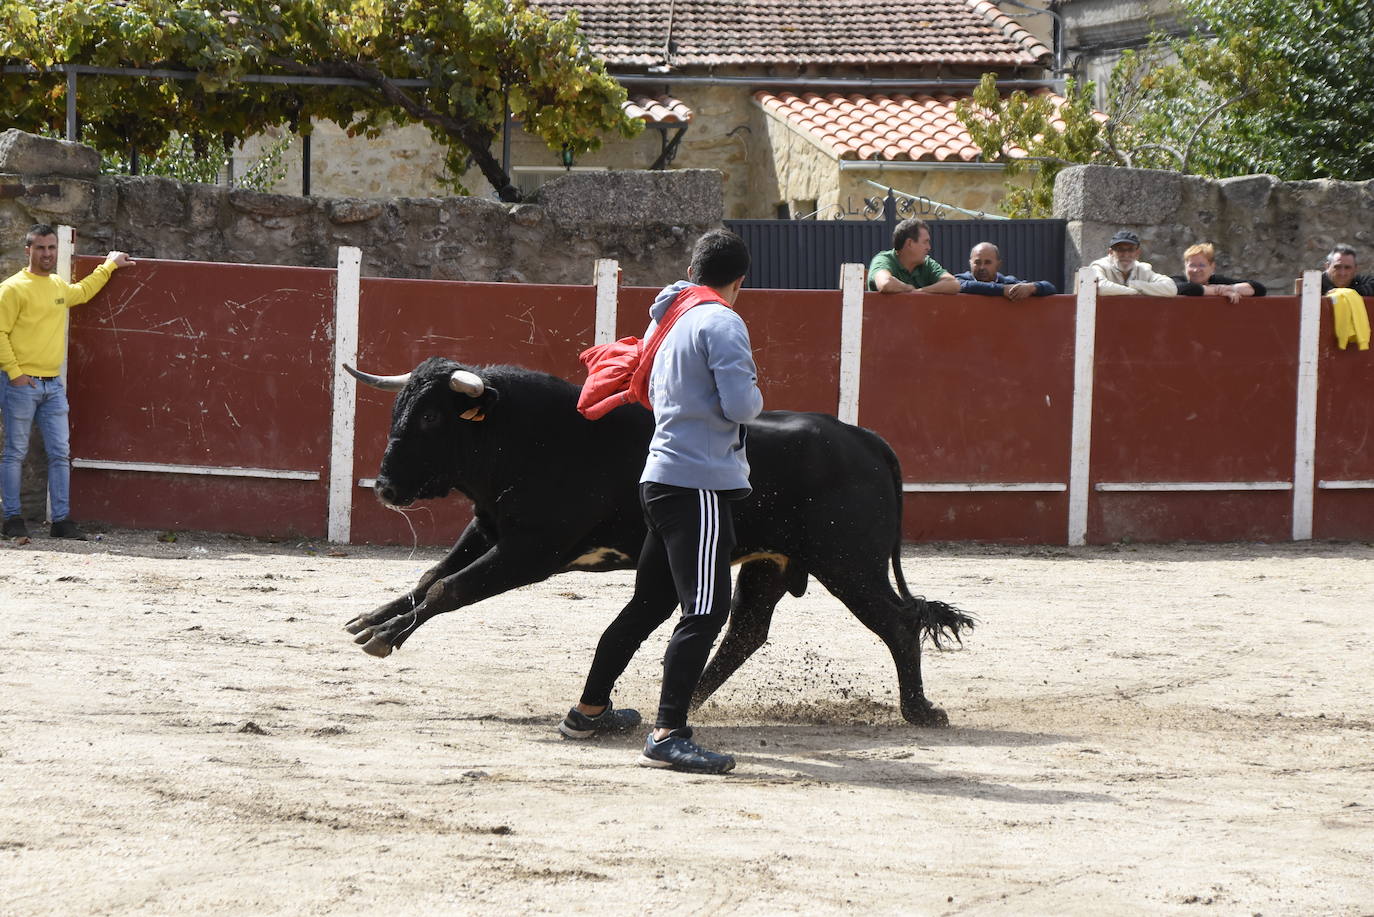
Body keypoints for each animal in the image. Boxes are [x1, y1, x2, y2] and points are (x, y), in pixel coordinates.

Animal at [343, 357, 972, 725]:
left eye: (431, 419)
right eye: (400, 409)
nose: (386, 486)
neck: (533, 437)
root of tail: (863, 438)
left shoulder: (531, 550)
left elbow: (448, 589)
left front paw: (385, 636)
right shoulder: (489, 528)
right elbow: (432, 577)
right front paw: (370, 622)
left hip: (851, 563)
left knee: (896, 621)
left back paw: (920, 711)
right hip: (772, 564)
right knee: (745, 632)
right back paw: (684, 703)